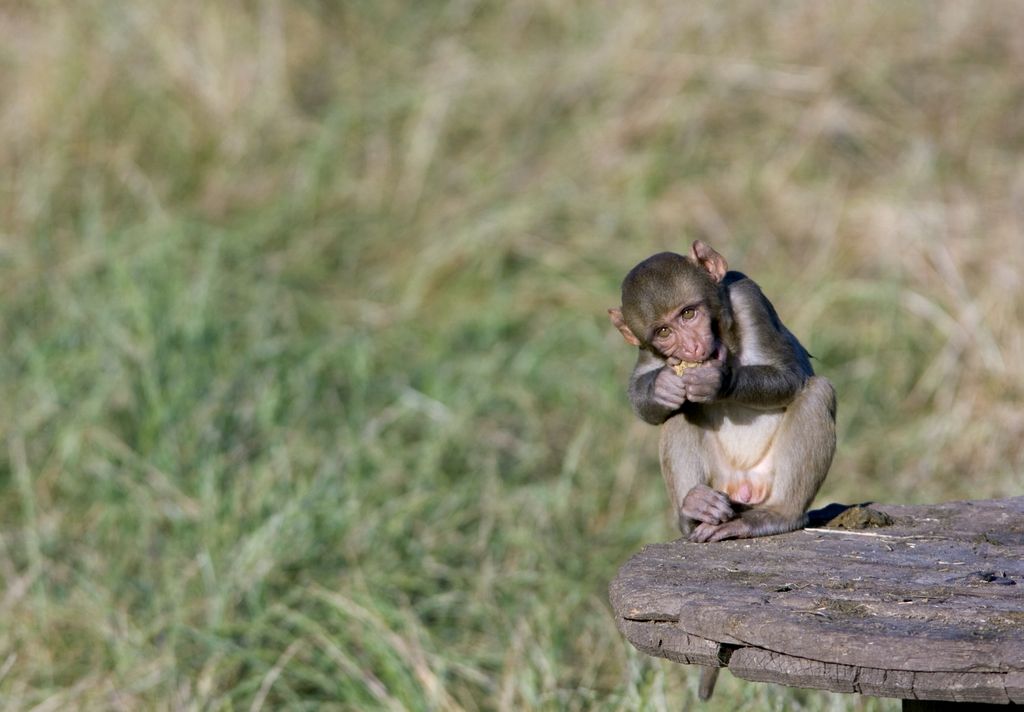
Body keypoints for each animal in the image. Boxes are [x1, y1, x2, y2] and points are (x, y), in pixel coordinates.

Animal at [608, 241, 836, 544]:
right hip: (720, 481)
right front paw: (663, 386)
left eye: (688, 313)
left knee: (818, 392)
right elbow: (640, 391)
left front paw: (718, 380)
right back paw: (694, 509)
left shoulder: (748, 299)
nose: (691, 347)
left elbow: (791, 376)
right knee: (679, 413)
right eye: (664, 332)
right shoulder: (647, 345)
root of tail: (744, 485)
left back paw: (778, 514)